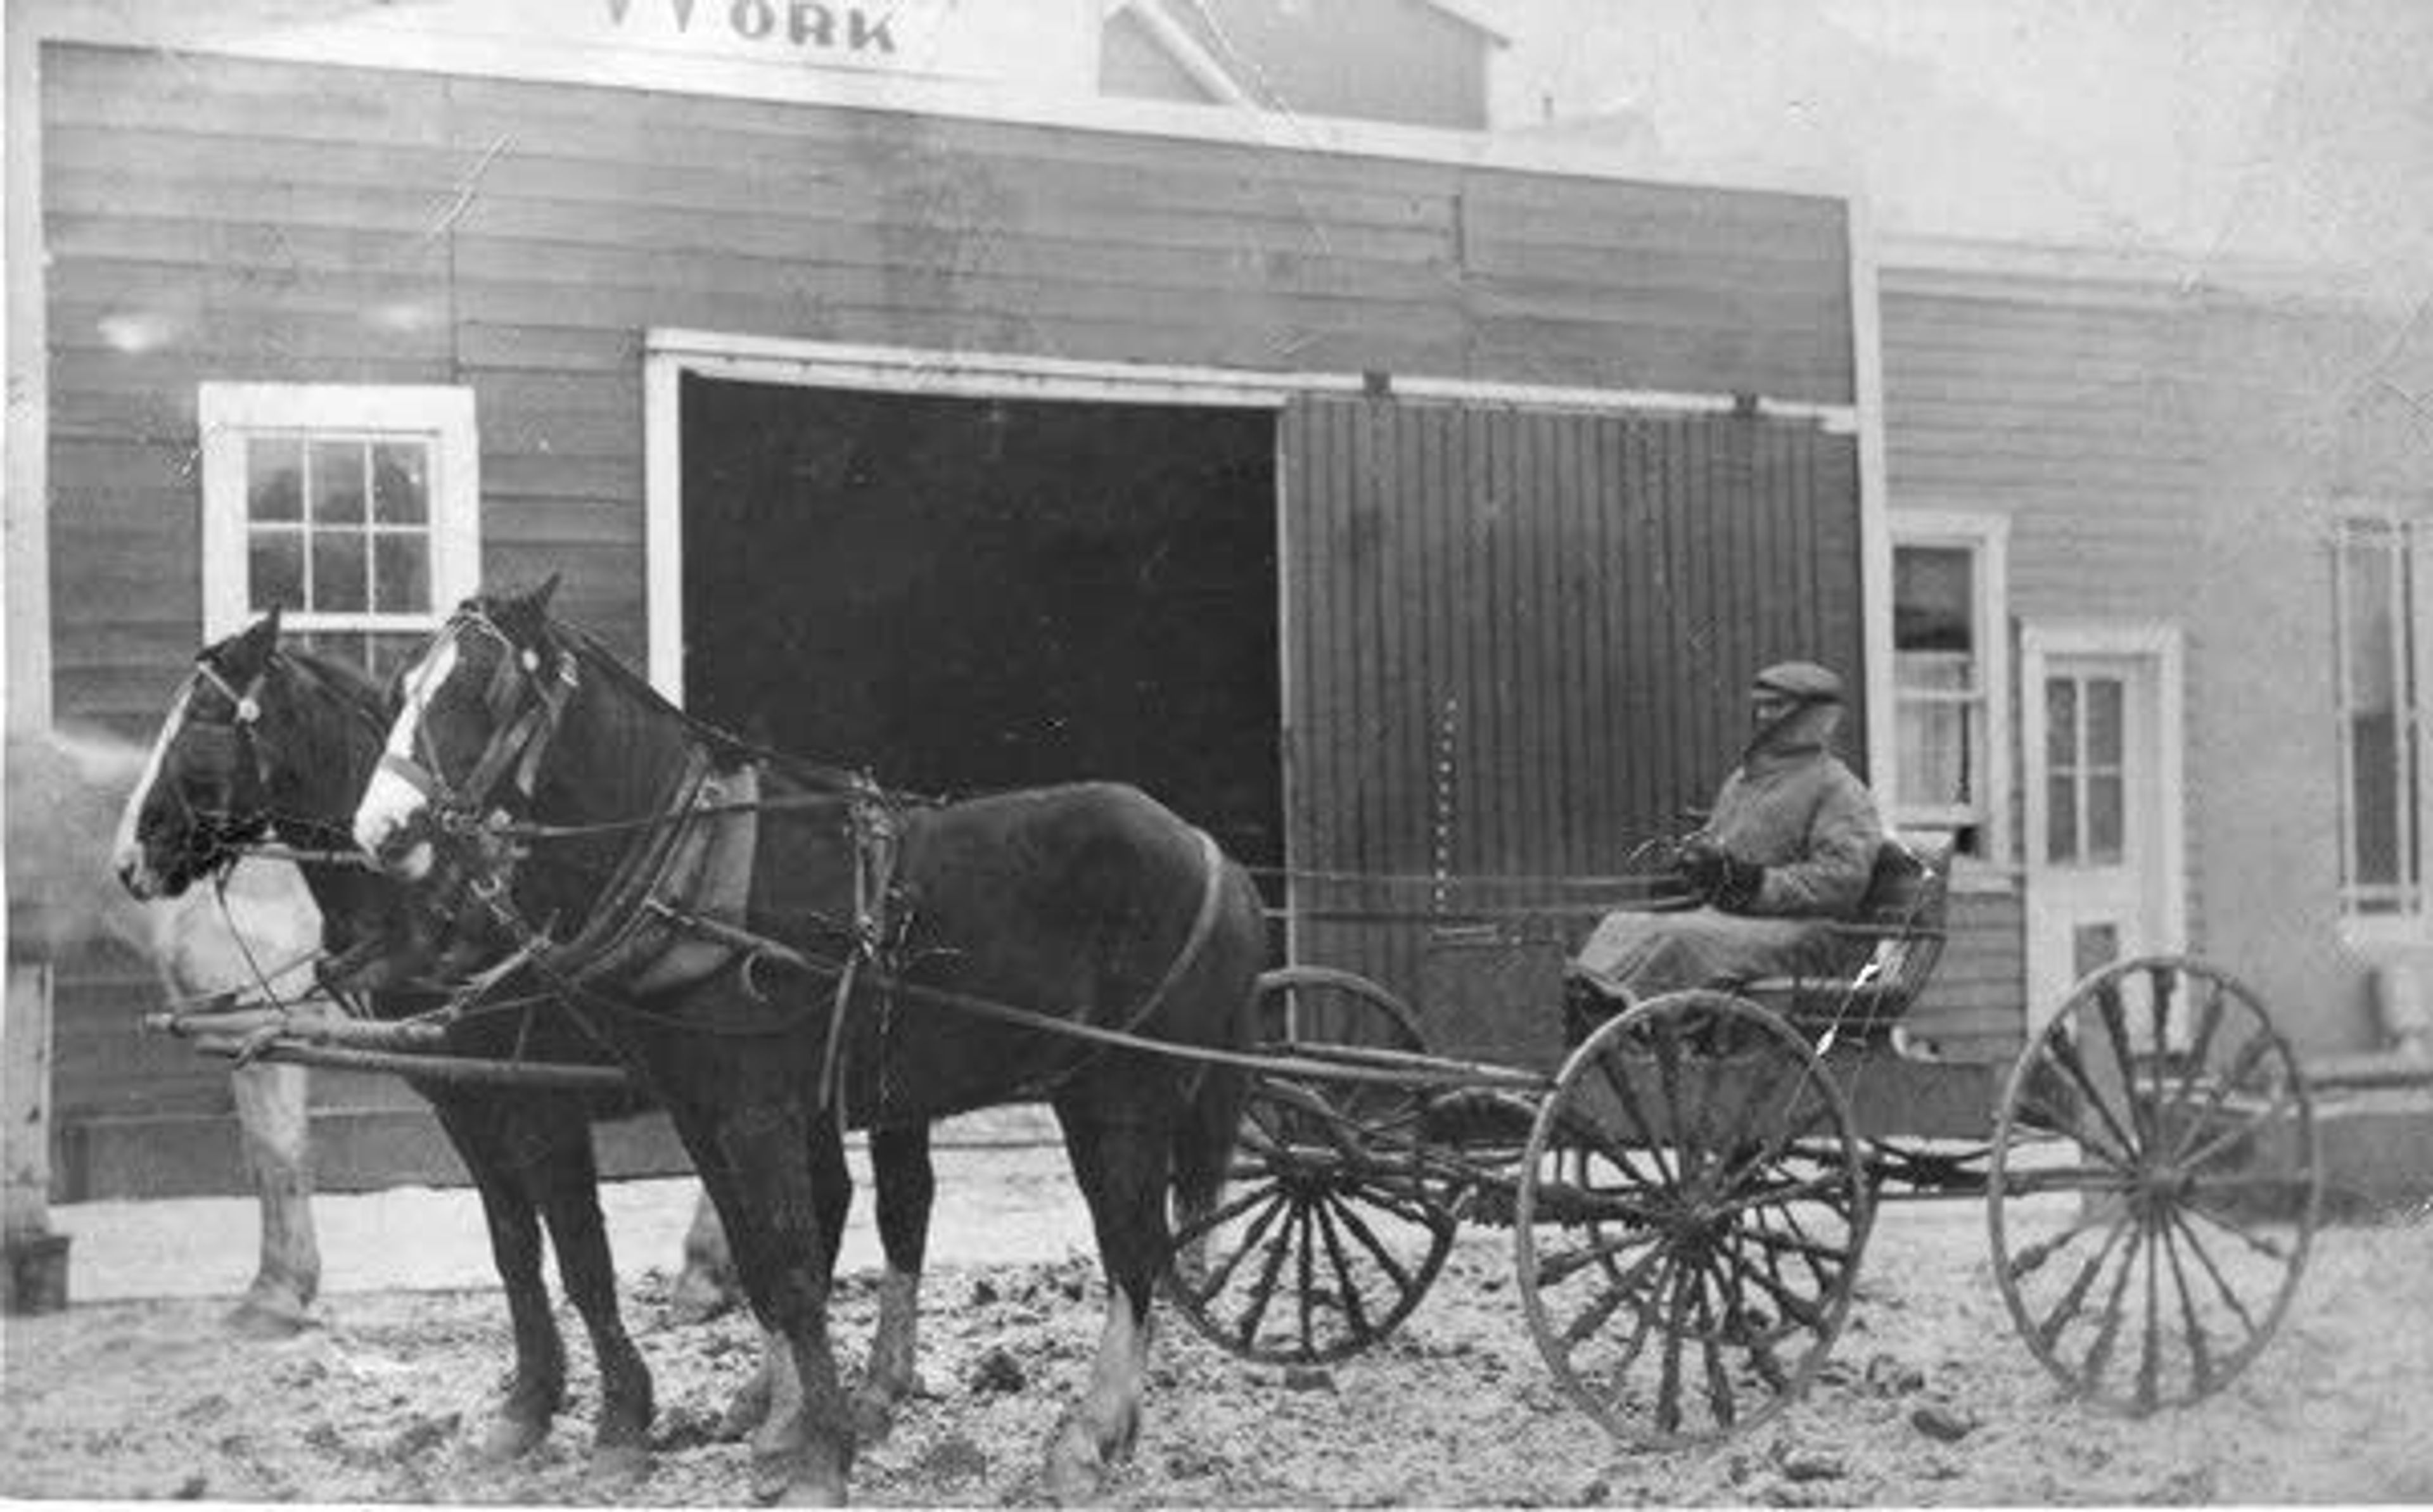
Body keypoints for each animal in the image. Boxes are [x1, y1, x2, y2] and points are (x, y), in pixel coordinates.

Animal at [112, 610, 948, 1478]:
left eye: (201, 722)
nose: (129, 858)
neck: (437, 911)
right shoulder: (466, 1104)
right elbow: (514, 1249)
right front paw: (528, 1406)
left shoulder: (542, 1102)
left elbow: (582, 1254)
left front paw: (622, 1418)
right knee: (822, 1204)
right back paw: (771, 1399)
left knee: (899, 1203)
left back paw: (875, 1387)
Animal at [355, 581, 1275, 1507]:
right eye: (403, 688)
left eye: (483, 689)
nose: (381, 831)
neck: (698, 870)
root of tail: (1213, 853)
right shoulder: (701, 1111)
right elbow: (757, 1259)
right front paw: (783, 1430)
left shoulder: (752, 1110)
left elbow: (793, 1269)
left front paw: (820, 1458)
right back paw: (1108, 1427)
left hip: (1121, 1095)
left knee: (1132, 1246)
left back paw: (1087, 1436)